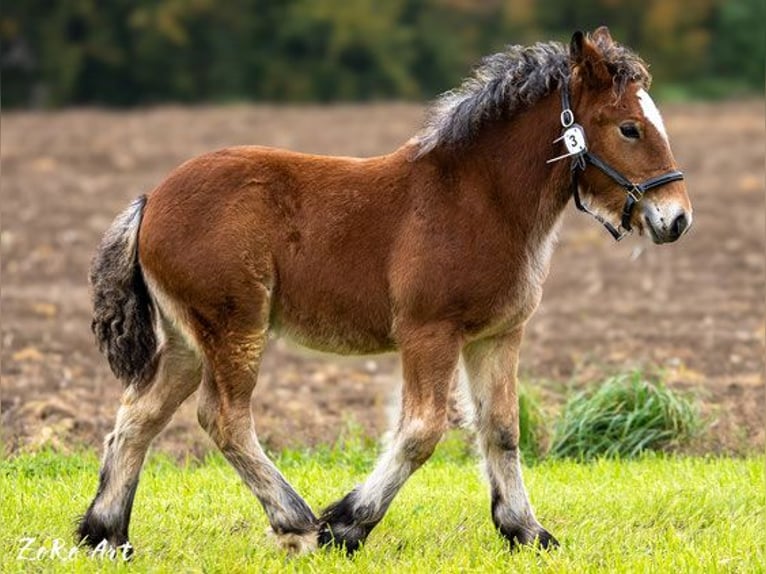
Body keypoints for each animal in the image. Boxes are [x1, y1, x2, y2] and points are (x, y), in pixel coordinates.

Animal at [78, 27, 696, 560]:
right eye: (629, 128)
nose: (677, 218)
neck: (480, 200)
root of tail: (151, 200)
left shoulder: (497, 335)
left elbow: (501, 429)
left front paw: (526, 531)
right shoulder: (429, 331)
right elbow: (422, 431)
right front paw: (346, 525)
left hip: (188, 337)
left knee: (140, 414)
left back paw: (104, 534)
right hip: (233, 326)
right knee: (222, 416)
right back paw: (295, 522)